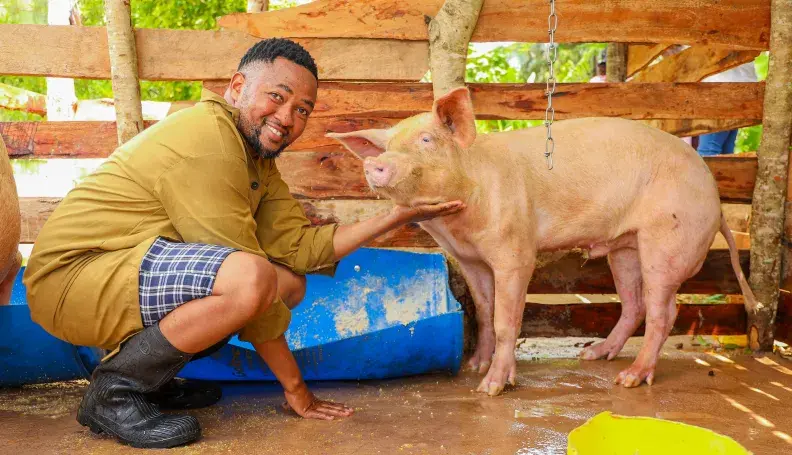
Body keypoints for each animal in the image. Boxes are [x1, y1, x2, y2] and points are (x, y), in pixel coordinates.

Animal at [328, 87, 756, 396]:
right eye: (387, 147)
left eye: (427, 140)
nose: (375, 163)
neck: (459, 222)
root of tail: (715, 197)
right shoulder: (470, 259)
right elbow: (484, 311)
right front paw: (475, 366)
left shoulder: (515, 250)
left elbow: (506, 320)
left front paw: (491, 387)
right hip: (625, 246)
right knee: (634, 305)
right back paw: (594, 356)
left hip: (666, 241)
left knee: (664, 311)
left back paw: (630, 379)